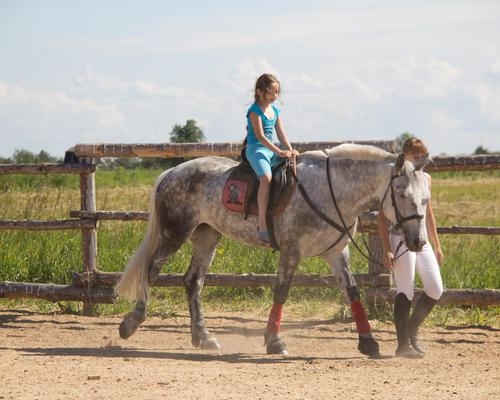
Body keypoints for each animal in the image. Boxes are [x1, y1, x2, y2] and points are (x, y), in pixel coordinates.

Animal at [115, 143, 428, 356]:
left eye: (425, 197)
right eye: (402, 194)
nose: (418, 242)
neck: (331, 191)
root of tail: (172, 171)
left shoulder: (336, 252)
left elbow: (352, 292)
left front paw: (368, 342)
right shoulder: (291, 250)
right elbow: (281, 291)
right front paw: (275, 341)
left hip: (207, 236)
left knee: (193, 281)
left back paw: (203, 337)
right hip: (174, 233)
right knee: (151, 270)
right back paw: (131, 323)